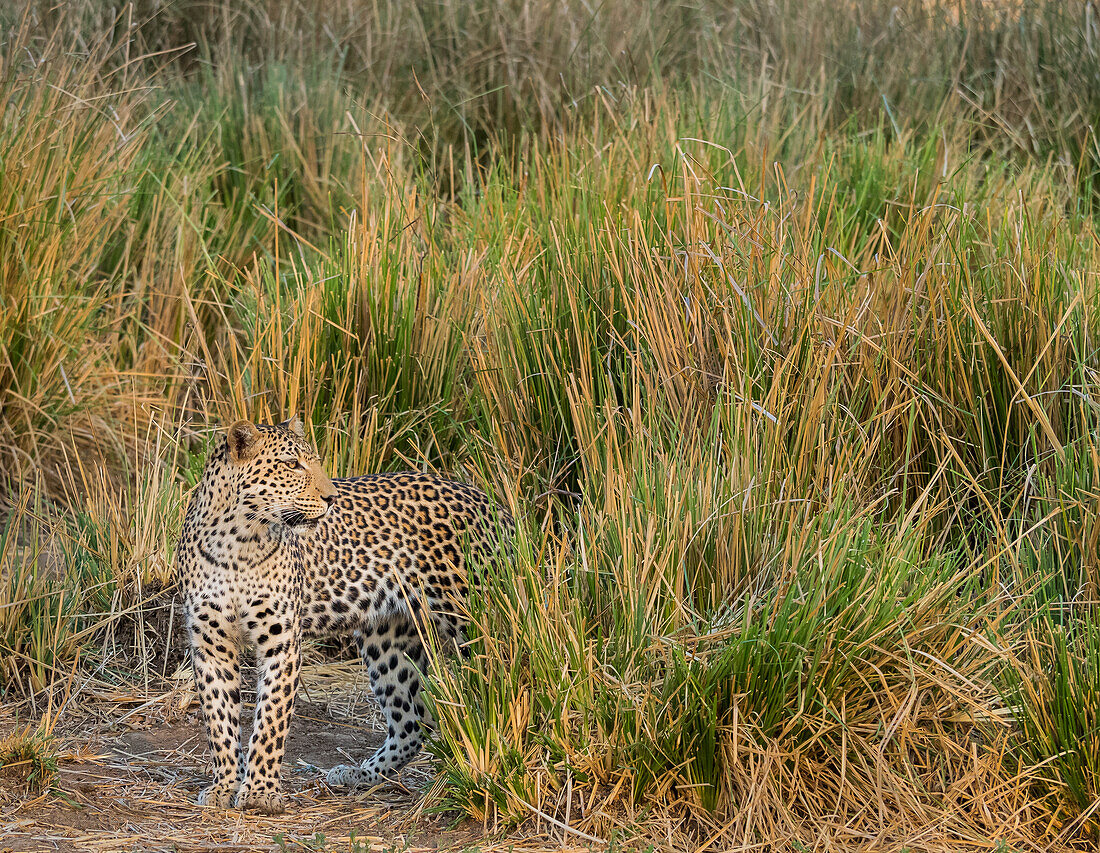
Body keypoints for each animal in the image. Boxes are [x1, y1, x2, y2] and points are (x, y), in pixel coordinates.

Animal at [174, 418, 510, 814]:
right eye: (291, 465)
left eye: (315, 461)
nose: (331, 498)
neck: (237, 542)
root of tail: (491, 503)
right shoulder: (210, 643)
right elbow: (220, 719)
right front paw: (225, 785)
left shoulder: (281, 641)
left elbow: (270, 719)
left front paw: (260, 792)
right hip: (388, 640)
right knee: (413, 720)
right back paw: (360, 773)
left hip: (475, 618)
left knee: (504, 682)